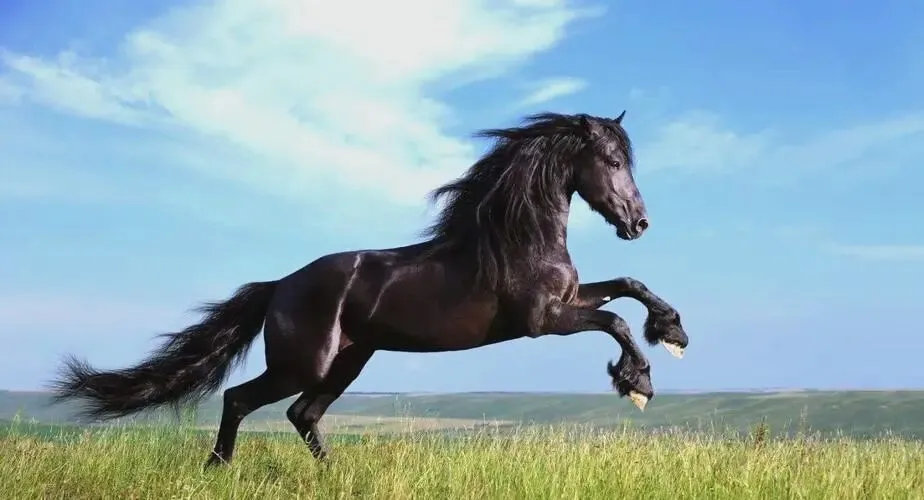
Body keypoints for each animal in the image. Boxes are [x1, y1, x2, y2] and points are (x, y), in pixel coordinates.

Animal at [48, 111, 690, 468]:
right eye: (611, 161)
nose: (639, 223)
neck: (517, 238)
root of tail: (279, 286)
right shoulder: (542, 320)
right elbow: (615, 320)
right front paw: (637, 382)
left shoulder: (568, 301)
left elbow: (628, 286)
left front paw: (673, 332)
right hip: (303, 362)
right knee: (242, 400)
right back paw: (217, 469)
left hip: (350, 360)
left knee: (302, 414)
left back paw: (332, 476)